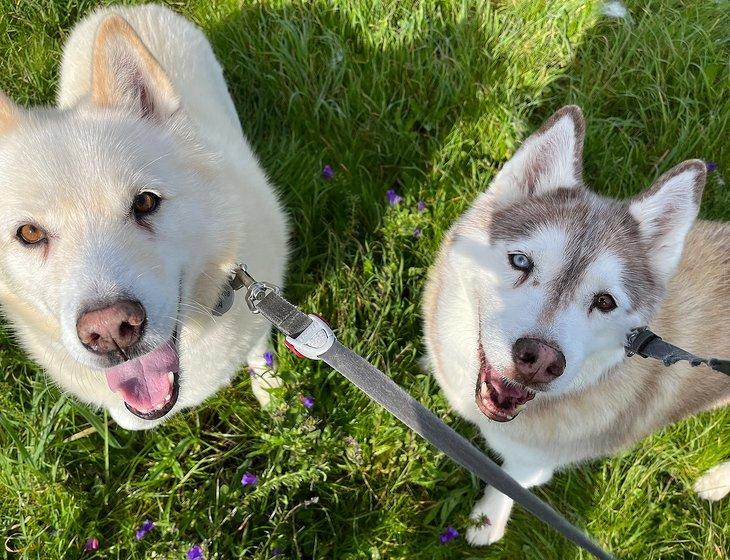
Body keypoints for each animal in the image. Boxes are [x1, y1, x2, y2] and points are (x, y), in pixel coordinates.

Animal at [0, 5, 288, 428]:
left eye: (146, 203)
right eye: (31, 233)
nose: (110, 331)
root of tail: (126, 7)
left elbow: (260, 355)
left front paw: (272, 393)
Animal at [420, 106, 728, 548]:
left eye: (605, 301)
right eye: (520, 261)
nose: (539, 360)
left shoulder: (531, 463)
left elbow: (507, 481)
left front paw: (488, 520)